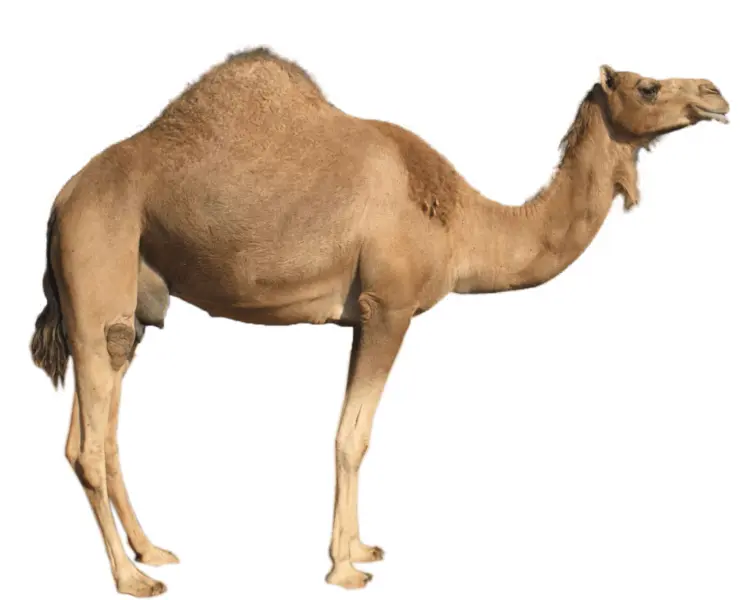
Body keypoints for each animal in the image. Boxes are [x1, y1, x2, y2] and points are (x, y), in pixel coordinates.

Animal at [30, 47, 729, 597]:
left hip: (128, 306)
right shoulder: (386, 308)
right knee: (90, 442)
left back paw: (153, 550)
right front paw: (345, 568)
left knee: (97, 429)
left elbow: (354, 433)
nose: (716, 93)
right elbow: (352, 436)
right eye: (647, 85)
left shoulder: (365, 316)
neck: (464, 222)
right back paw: (133, 579)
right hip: (98, 267)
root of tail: (61, 200)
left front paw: (360, 548)